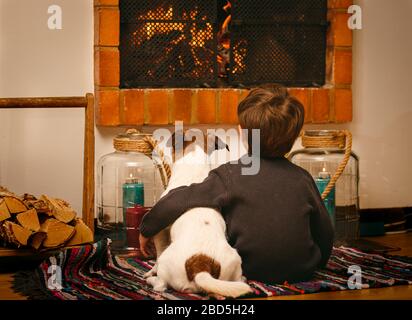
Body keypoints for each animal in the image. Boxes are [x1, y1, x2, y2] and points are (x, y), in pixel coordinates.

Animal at [145, 129, 253, 298]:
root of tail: (201, 266)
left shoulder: (160, 229)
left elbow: (157, 254)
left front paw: (150, 271)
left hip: (166, 265)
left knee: (160, 285)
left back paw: (151, 280)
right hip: (235, 261)